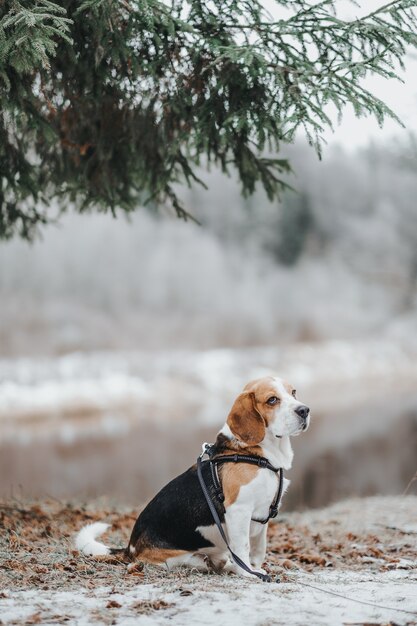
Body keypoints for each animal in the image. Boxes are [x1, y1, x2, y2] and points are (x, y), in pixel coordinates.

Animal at [75, 376, 308, 576]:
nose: (304, 410)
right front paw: (249, 573)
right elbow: (243, 548)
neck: (255, 453)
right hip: (180, 558)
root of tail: (131, 547)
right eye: (272, 400)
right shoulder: (239, 511)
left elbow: (259, 549)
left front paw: (256, 568)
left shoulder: (262, 516)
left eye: (293, 392)